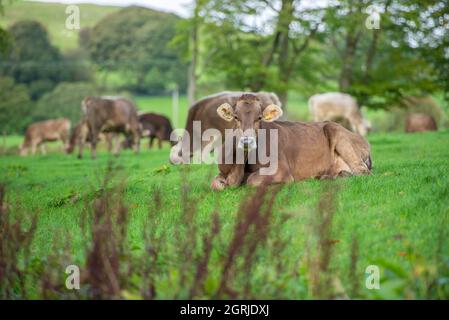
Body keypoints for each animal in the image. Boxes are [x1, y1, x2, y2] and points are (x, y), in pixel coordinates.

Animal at [210, 94, 372, 190]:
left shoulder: (280, 169)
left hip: (337, 132)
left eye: (259, 118)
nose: (246, 141)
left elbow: (251, 180)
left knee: (362, 171)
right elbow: (215, 184)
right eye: (236, 117)